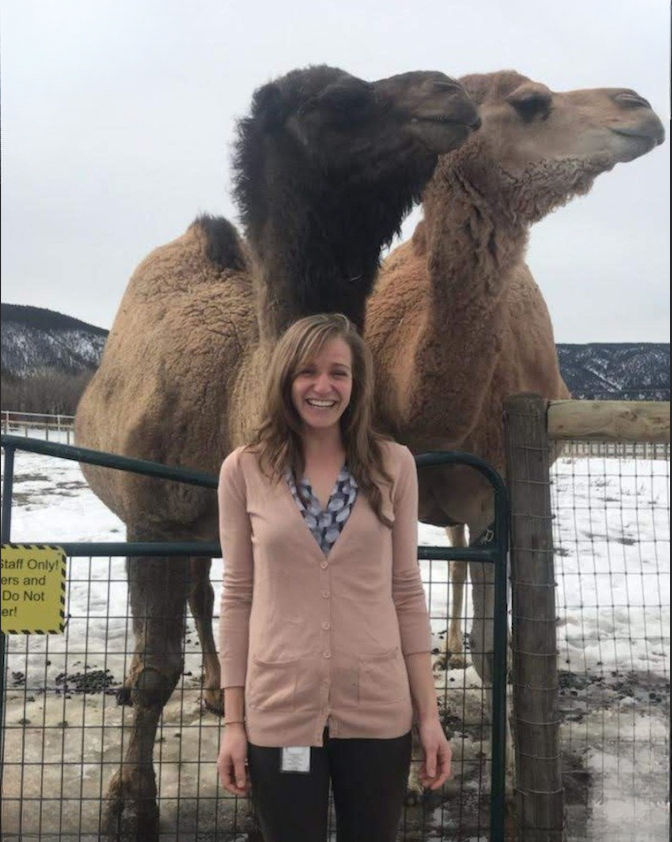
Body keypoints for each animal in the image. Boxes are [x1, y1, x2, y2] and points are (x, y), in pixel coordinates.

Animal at [75, 64, 479, 840]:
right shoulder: (150, 518)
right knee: (189, 608)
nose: (453, 93)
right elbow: (154, 671)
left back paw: (212, 690)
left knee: (204, 594)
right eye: (338, 101)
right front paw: (128, 805)